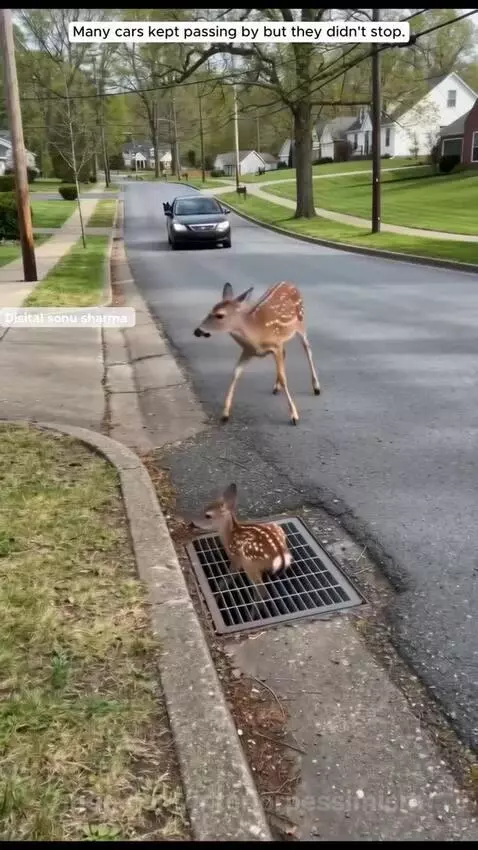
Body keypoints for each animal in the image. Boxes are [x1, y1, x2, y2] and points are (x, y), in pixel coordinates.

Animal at [193, 280, 321, 425]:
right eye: (209, 311)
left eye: (220, 315)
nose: (197, 331)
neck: (256, 333)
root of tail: (289, 283)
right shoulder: (248, 351)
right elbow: (235, 373)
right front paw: (225, 414)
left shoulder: (275, 345)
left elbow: (284, 378)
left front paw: (294, 416)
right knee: (286, 352)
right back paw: (276, 387)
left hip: (300, 323)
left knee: (307, 349)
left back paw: (316, 387)